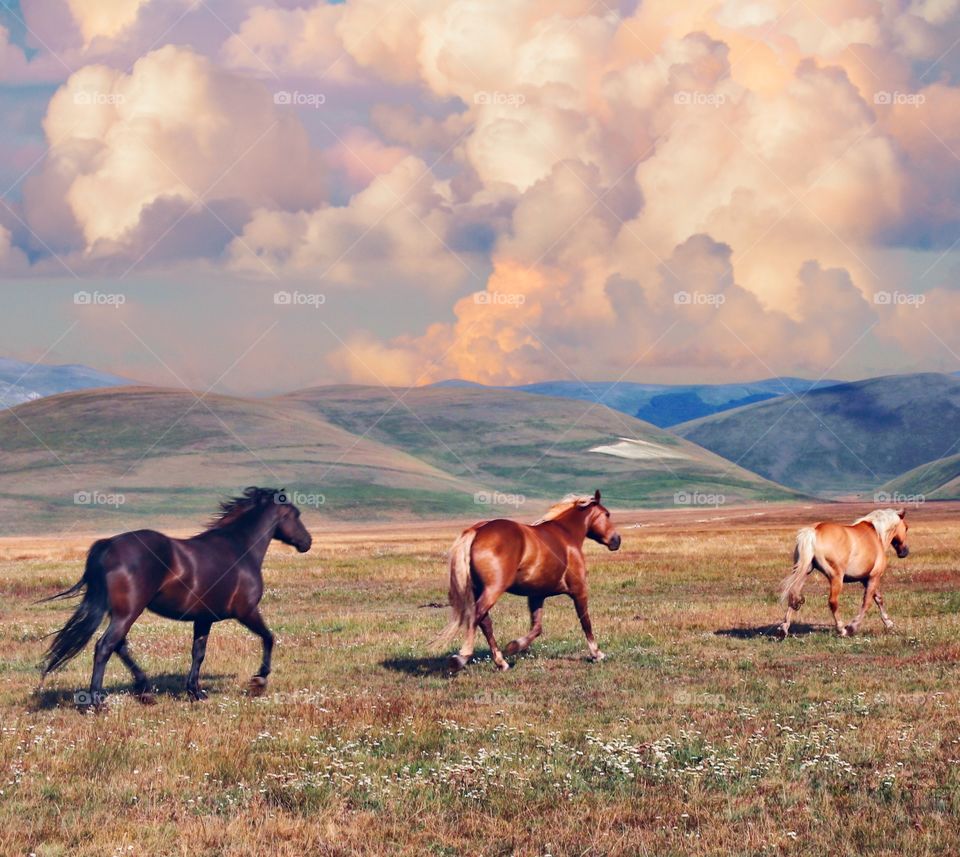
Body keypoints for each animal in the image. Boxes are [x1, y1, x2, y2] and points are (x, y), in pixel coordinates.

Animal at [39, 487, 312, 706]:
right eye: (295, 514)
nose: (307, 542)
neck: (240, 549)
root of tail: (108, 546)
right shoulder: (246, 611)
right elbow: (268, 637)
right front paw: (259, 680)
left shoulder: (204, 619)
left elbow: (198, 653)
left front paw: (195, 692)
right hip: (129, 612)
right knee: (105, 646)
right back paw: (96, 702)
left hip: (122, 613)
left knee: (119, 646)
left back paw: (145, 690)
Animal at [438, 490, 621, 671]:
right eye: (607, 514)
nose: (617, 540)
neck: (566, 535)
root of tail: (477, 531)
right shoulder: (579, 590)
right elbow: (585, 622)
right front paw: (597, 654)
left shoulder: (537, 595)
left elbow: (537, 628)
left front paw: (514, 646)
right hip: (493, 590)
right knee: (476, 616)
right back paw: (461, 658)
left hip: (480, 590)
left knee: (485, 622)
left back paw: (501, 662)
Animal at [776, 508, 909, 639]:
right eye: (906, 528)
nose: (904, 552)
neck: (876, 534)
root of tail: (814, 531)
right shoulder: (874, 577)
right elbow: (867, 602)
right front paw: (852, 627)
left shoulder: (865, 579)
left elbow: (878, 598)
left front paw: (889, 623)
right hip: (836, 577)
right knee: (833, 602)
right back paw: (841, 629)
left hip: (803, 572)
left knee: (793, 594)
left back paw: (784, 628)